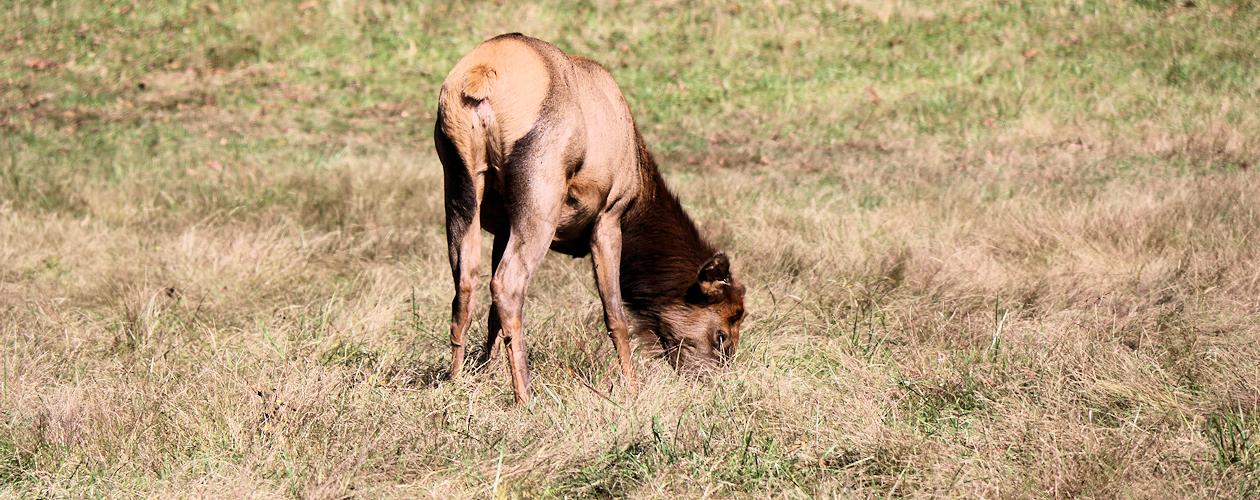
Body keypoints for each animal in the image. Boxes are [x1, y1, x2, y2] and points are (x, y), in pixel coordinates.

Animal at [435, 33, 740, 403]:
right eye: (723, 332)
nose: (718, 385)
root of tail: (480, 79)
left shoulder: (503, 225)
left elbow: (492, 317)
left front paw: (485, 370)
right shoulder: (609, 215)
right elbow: (615, 314)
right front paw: (631, 388)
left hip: (458, 181)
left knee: (466, 282)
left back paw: (455, 381)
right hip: (541, 191)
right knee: (507, 284)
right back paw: (526, 397)